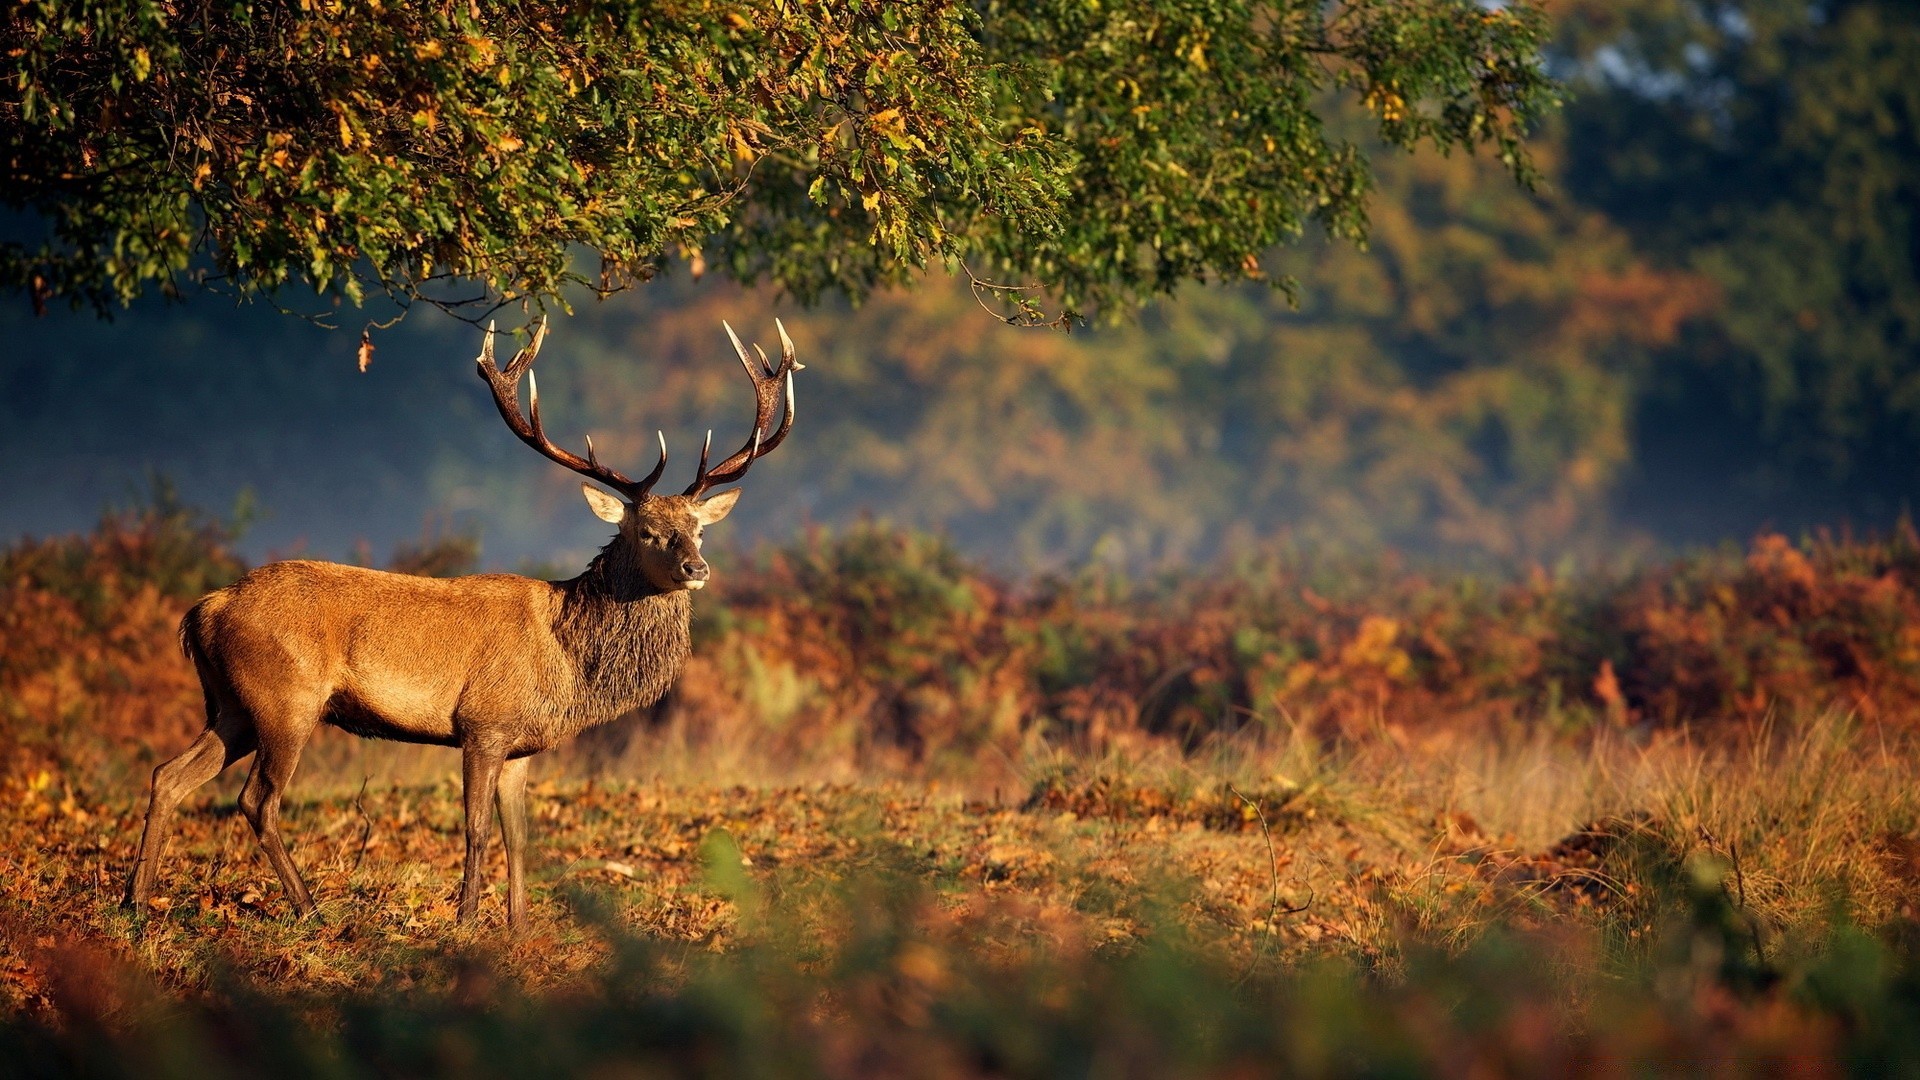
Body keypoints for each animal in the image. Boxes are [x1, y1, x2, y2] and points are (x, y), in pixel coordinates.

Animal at [125, 317, 802, 926]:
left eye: (698, 528)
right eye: (647, 531)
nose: (696, 566)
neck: (567, 662)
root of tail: (205, 610)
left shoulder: (524, 744)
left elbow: (518, 836)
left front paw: (520, 927)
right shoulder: (482, 724)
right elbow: (475, 829)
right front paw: (468, 921)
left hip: (232, 706)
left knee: (169, 775)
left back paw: (136, 903)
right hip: (286, 698)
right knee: (257, 800)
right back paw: (310, 910)